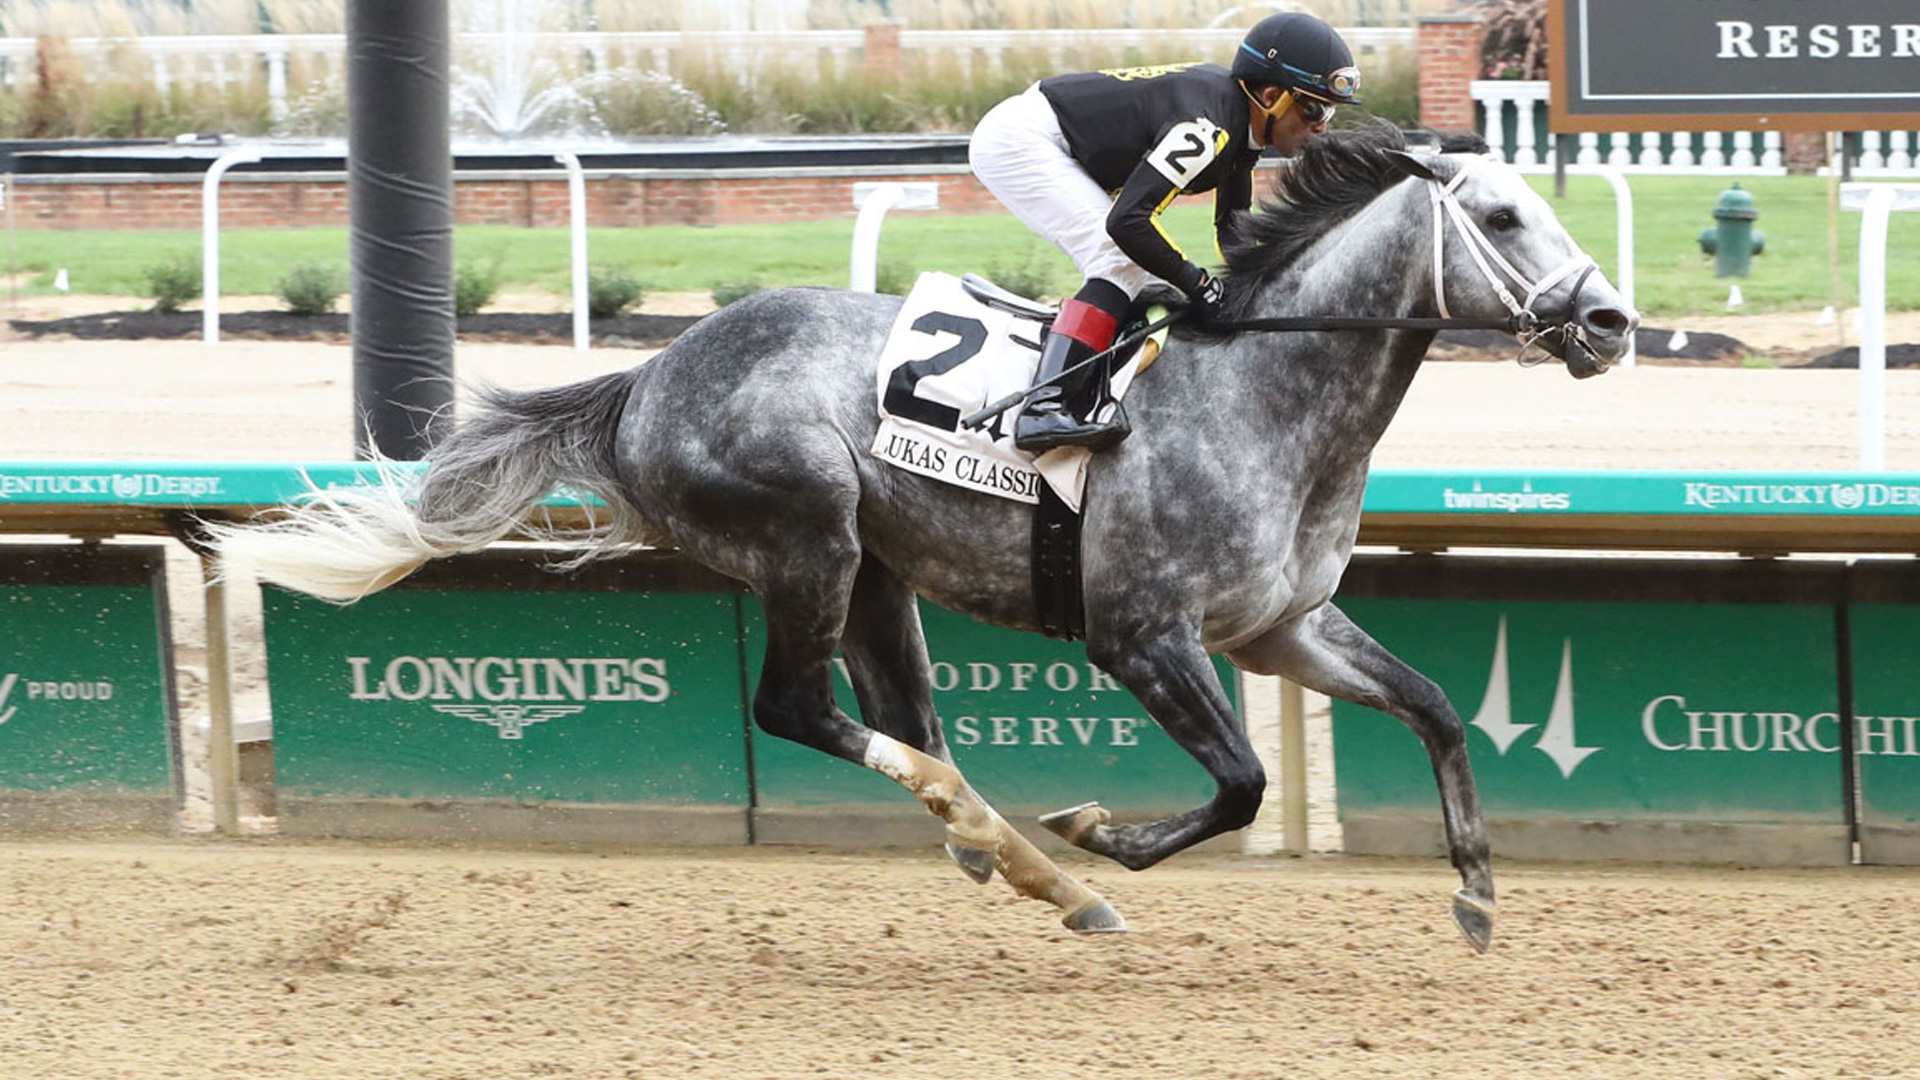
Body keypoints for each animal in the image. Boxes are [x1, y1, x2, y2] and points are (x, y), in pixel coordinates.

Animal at [209, 125, 1637, 952]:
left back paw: (1016, 859)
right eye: (1503, 219)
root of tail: (651, 376)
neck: (1262, 396)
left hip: (879, 579)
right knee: (799, 710)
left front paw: (1477, 891)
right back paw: (1030, 854)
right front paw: (1104, 832)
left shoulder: (1283, 627)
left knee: (905, 719)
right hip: (808, 542)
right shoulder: (1142, 636)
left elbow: (1436, 706)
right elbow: (1239, 784)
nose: (1612, 322)